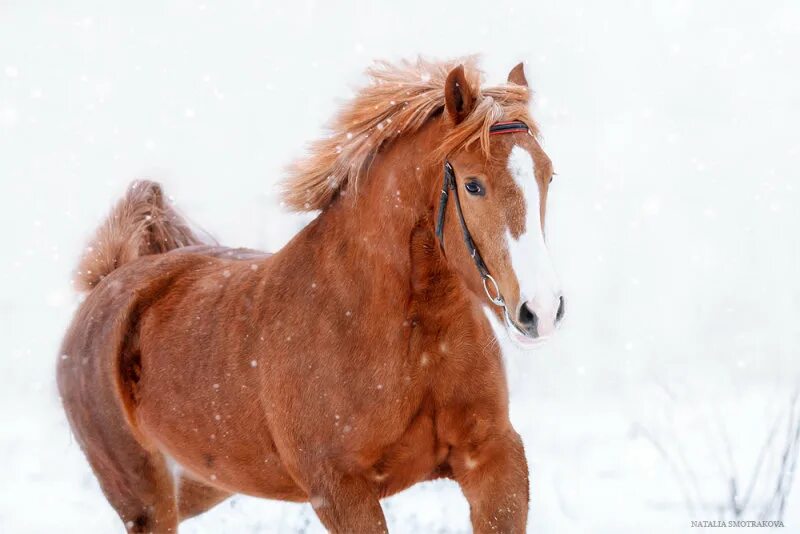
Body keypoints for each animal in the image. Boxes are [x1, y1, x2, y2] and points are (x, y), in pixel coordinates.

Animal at [57, 58, 564, 534]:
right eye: (473, 184)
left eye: (548, 175)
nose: (540, 311)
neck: (413, 339)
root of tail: (109, 283)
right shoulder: (338, 490)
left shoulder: (493, 457)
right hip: (146, 502)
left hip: (205, 483)